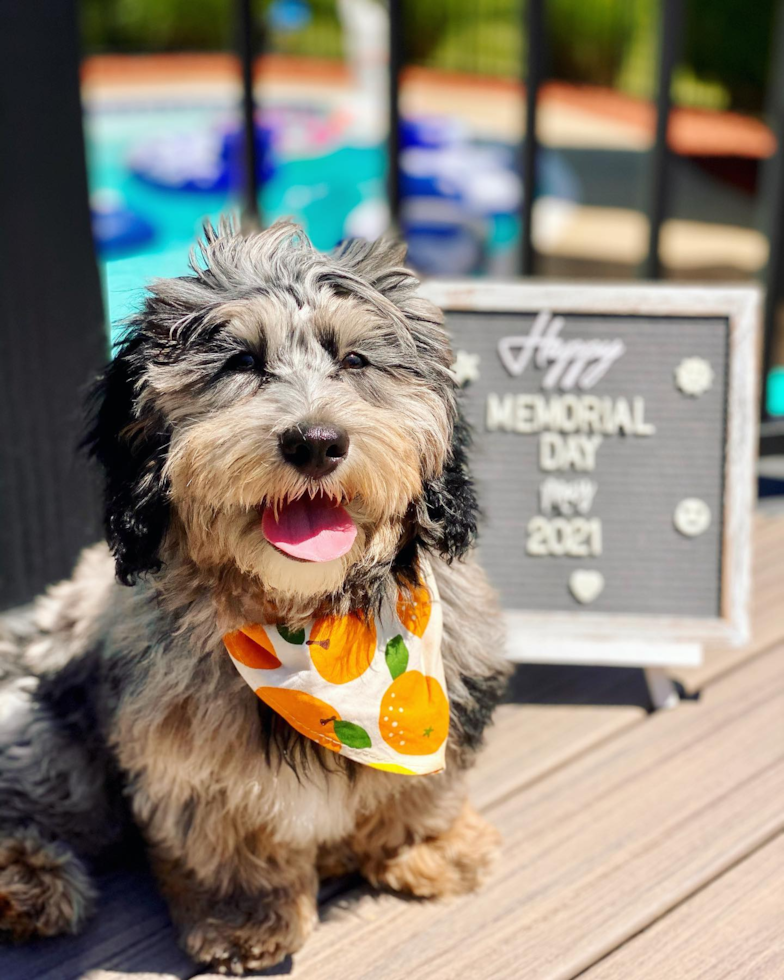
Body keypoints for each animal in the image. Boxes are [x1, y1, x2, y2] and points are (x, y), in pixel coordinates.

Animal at [0, 222, 508, 972]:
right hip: (48, 738)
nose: (316, 441)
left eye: (356, 360)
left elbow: (421, 787)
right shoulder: (189, 754)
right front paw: (244, 915)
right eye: (239, 361)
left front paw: (427, 843)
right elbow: (228, 834)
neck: (309, 619)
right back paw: (27, 882)